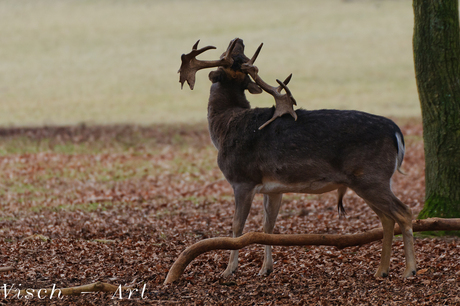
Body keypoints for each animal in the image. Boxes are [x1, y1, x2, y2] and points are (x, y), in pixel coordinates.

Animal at [178, 37, 416, 278]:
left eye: (231, 60)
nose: (239, 40)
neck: (223, 127)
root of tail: (396, 132)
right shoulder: (273, 188)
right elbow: (267, 226)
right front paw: (265, 268)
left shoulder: (242, 179)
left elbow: (237, 226)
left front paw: (229, 270)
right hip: (368, 180)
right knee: (387, 218)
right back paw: (382, 271)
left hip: (371, 177)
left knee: (404, 212)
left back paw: (409, 270)